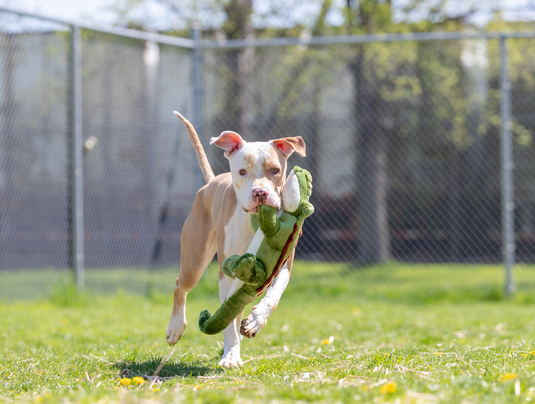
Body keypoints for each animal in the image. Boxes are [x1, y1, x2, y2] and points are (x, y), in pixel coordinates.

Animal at [168, 112, 308, 368]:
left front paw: (256, 320)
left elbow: (273, 295)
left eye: (275, 170)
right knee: (180, 286)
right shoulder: (228, 272)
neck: (256, 220)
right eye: (243, 172)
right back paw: (175, 328)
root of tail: (211, 182)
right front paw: (231, 354)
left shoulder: (284, 263)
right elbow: (229, 318)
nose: (260, 193)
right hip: (194, 261)